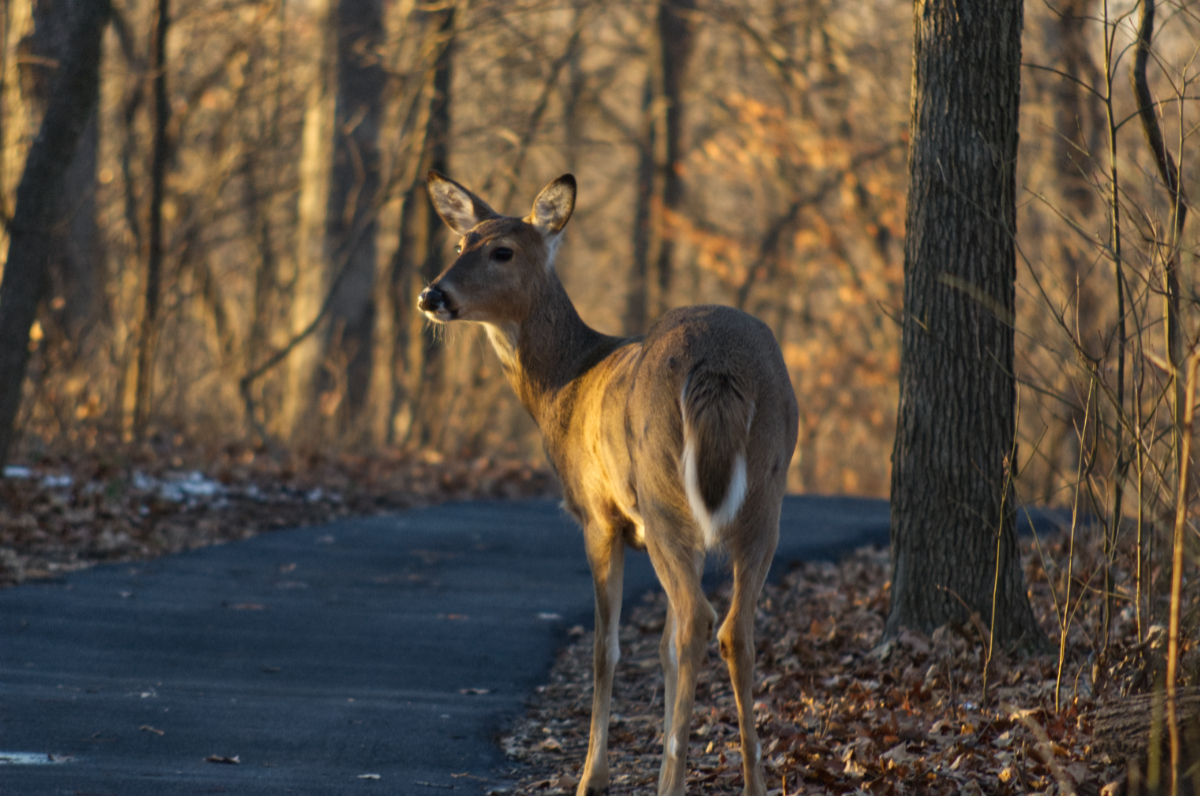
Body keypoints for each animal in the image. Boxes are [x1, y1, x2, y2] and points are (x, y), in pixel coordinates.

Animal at [417, 172, 801, 796]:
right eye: (459, 244)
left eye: (503, 251)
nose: (432, 296)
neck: (562, 385)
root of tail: (718, 365)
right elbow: (662, 650)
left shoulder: (599, 516)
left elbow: (606, 647)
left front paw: (592, 777)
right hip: (766, 493)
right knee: (733, 629)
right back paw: (750, 783)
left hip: (663, 493)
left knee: (699, 619)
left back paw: (671, 785)